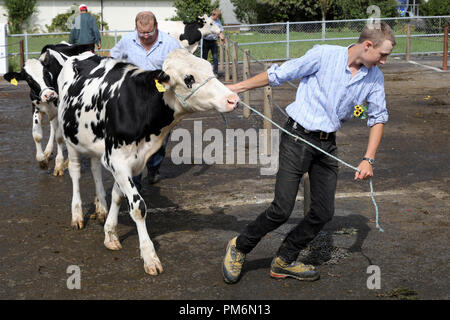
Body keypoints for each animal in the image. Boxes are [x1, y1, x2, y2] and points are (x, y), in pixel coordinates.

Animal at [58, 48, 241, 274]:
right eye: (189, 78)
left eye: (210, 69)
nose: (233, 99)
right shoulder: (118, 161)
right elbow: (138, 207)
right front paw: (149, 256)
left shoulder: (133, 162)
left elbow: (118, 197)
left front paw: (110, 233)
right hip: (71, 139)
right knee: (75, 173)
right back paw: (77, 216)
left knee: (94, 168)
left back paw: (100, 208)